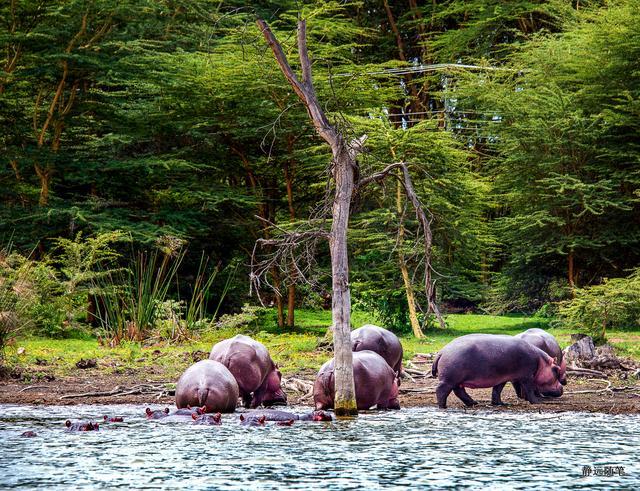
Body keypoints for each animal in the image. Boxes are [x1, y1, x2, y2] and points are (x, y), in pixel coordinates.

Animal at [432, 334, 564, 412]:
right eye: (556, 370)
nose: (562, 388)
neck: (541, 361)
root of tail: (442, 351)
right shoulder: (527, 376)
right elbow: (529, 389)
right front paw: (537, 402)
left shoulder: (503, 378)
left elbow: (497, 390)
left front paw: (500, 403)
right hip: (448, 380)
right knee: (441, 390)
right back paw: (443, 406)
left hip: (456, 380)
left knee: (459, 391)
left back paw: (474, 403)